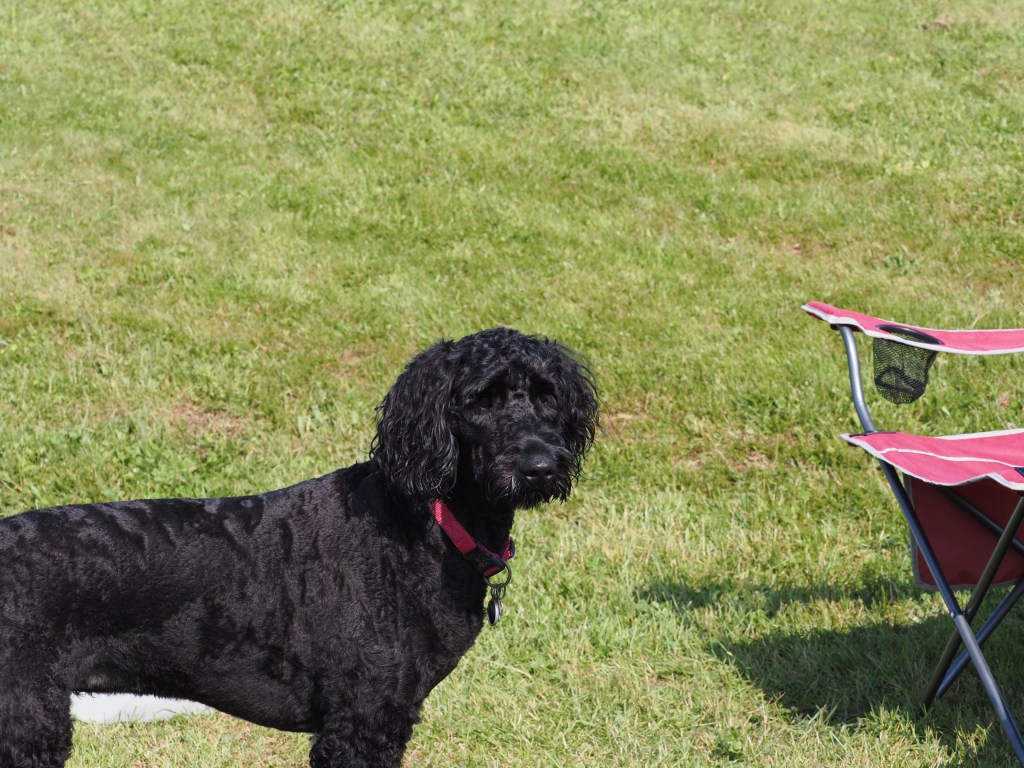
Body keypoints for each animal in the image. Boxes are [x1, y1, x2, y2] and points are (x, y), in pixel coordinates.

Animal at [0, 327, 598, 768]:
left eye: (547, 395)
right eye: (481, 401)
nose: (540, 466)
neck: (426, 526)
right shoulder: (363, 720)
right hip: (27, 720)